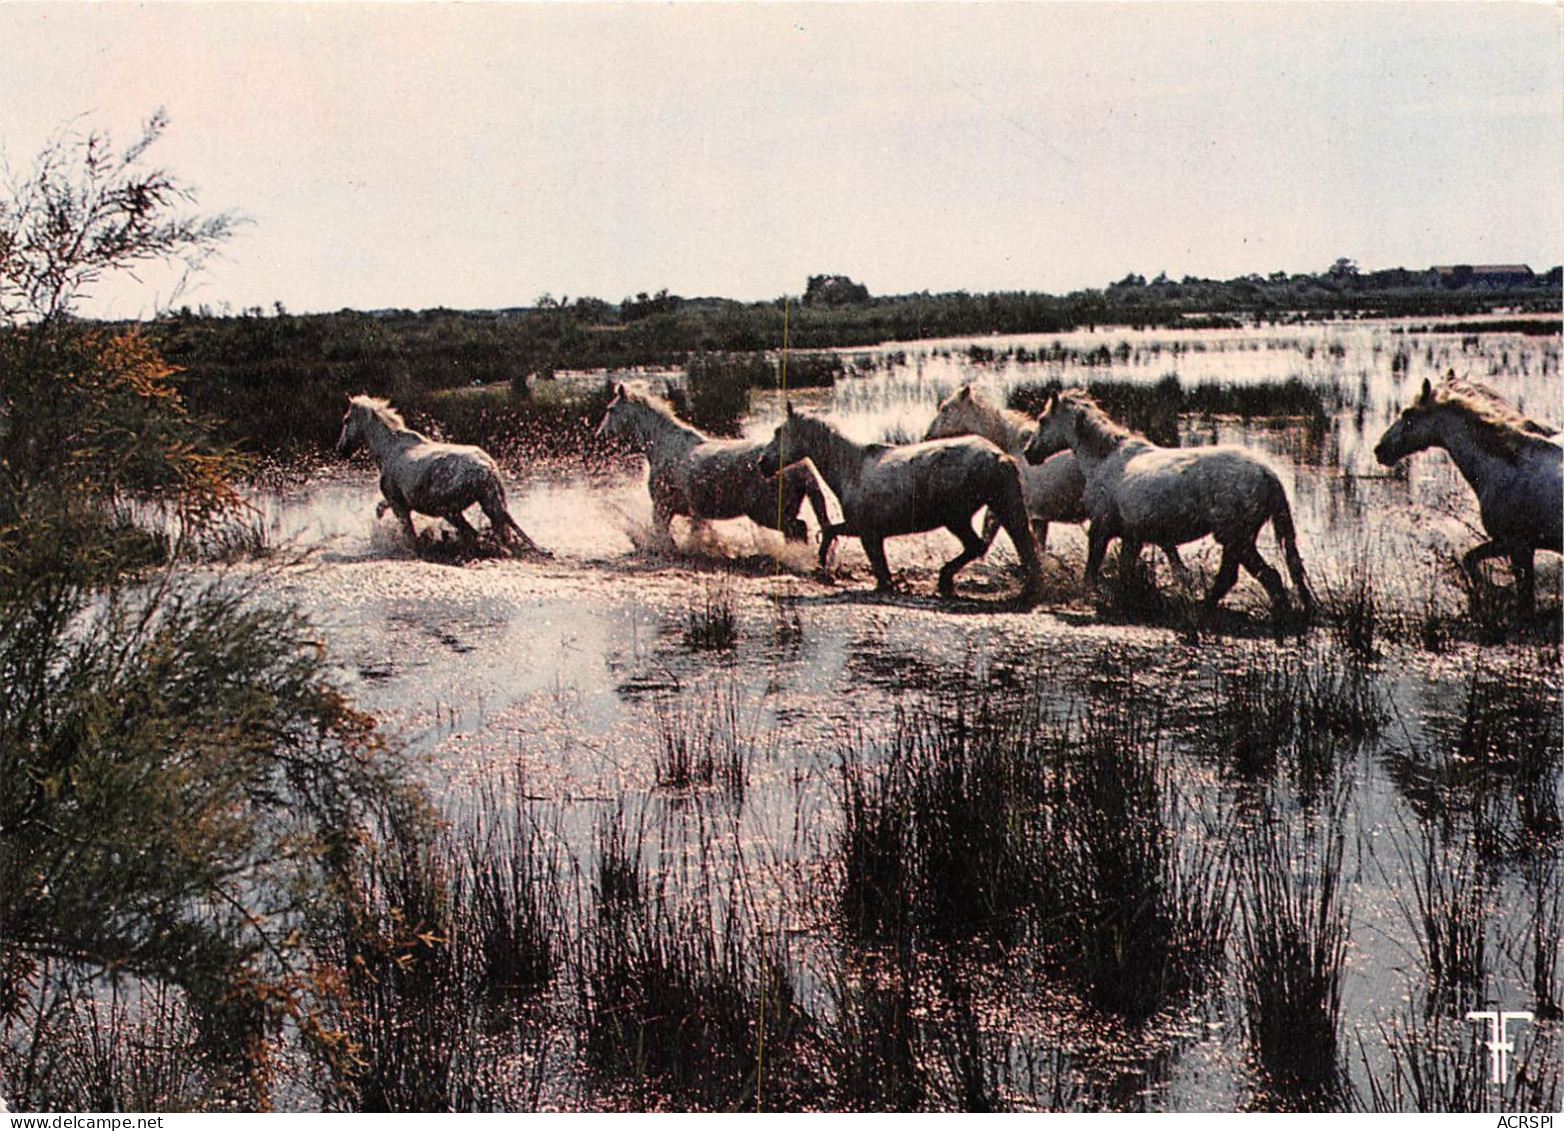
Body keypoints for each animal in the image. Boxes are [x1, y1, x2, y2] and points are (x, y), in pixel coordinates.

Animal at [333, 395, 547, 560]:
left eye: (346, 420)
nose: (341, 448)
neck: (390, 449)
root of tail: (488, 468)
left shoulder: (398, 504)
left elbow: (408, 534)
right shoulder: (394, 501)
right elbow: (380, 509)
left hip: (450, 510)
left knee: (472, 533)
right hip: (488, 504)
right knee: (494, 534)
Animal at [591, 384, 832, 553]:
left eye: (611, 409)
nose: (599, 434)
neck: (664, 445)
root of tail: (802, 466)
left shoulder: (662, 506)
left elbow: (664, 535)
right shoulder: (695, 513)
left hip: (769, 513)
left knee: (798, 528)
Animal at [756, 403, 1038, 600]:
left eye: (779, 432)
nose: (761, 463)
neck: (852, 467)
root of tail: (1000, 456)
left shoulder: (865, 531)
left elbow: (843, 540)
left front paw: (824, 563)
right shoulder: (869, 532)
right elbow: (841, 537)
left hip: (956, 518)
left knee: (978, 546)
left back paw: (945, 580)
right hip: (1000, 510)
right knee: (1019, 549)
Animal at [1019, 389, 1313, 619]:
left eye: (1043, 420)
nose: (1029, 453)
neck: (1105, 459)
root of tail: (1268, 474)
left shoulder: (1100, 528)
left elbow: (1092, 569)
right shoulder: (1131, 537)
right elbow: (1125, 571)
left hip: (1236, 538)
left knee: (1263, 576)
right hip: (1237, 540)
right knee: (1248, 577)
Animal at [1376, 375, 1557, 616]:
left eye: (1407, 413)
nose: (1379, 449)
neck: (1508, 465)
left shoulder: (1517, 545)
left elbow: (1525, 603)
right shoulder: (1511, 544)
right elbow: (1469, 558)